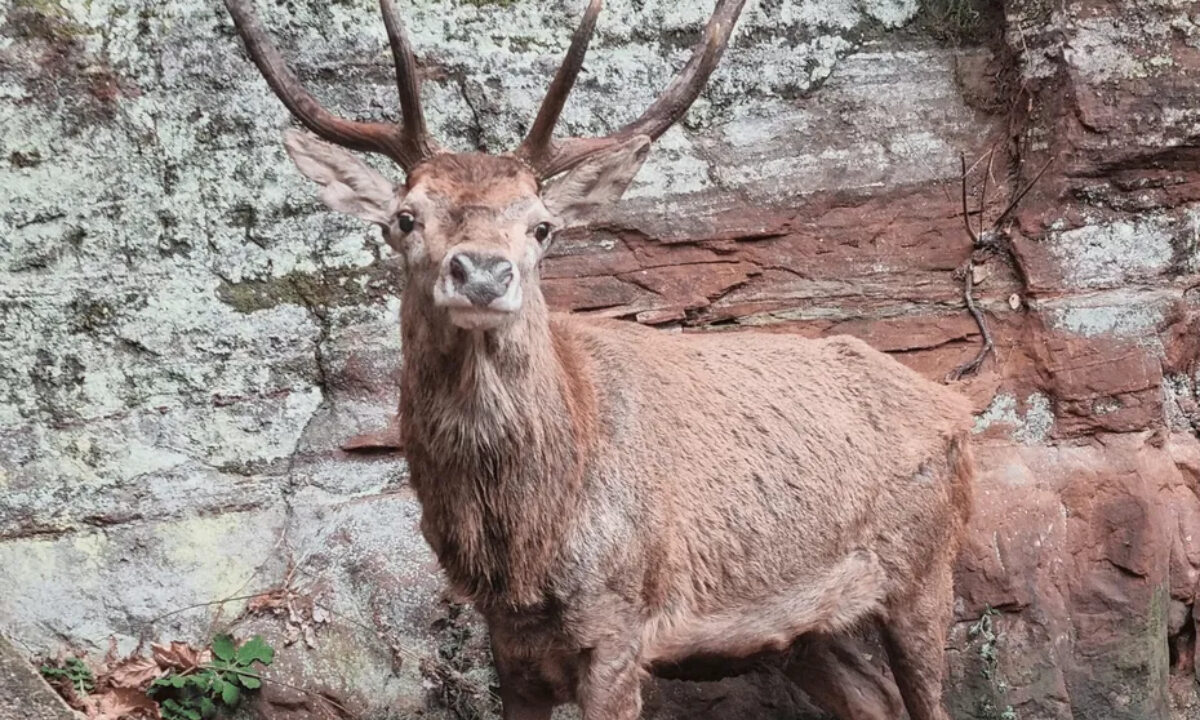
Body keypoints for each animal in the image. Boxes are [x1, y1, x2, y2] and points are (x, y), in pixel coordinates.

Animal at [223, 1, 976, 718]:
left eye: (542, 227)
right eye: (405, 217)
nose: (483, 273)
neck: (525, 543)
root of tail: (956, 407)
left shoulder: (617, 620)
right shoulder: (509, 643)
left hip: (926, 566)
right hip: (802, 627)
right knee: (873, 701)